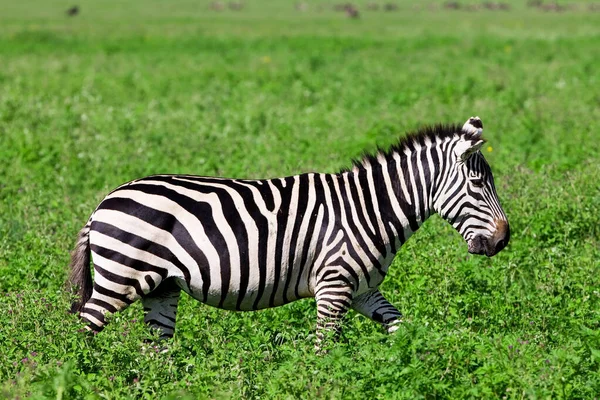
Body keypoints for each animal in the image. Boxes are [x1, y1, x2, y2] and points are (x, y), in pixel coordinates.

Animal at [69, 115, 510, 346]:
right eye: (477, 184)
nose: (504, 240)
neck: (370, 208)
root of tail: (104, 202)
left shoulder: (363, 289)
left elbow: (401, 327)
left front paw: (414, 364)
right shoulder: (334, 286)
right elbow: (323, 350)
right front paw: (323, 384)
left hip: (161, 287)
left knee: (155, 349)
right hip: (120, 277)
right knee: (83, 330)